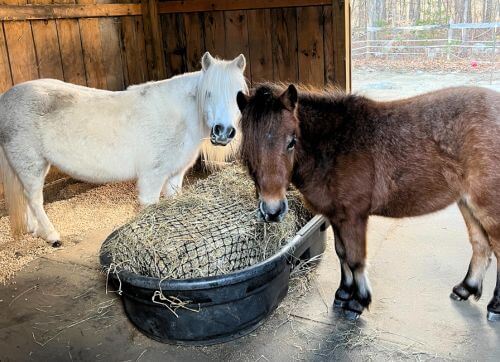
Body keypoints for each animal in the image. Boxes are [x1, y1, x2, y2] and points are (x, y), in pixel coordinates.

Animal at [0, 51, 248, 246]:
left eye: (239, 95)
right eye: (208, 93)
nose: (223, 132)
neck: (178, 116)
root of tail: (6, 99)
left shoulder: (174, 175)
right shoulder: (152, 177)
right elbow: (149, 206)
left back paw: (35, 231)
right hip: (30, 164)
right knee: (34, 199)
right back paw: (52, 236)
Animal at [237, 84, 500, 320]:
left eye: (292, 141)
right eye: (247, 148)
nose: (272, 210)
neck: (335, 146)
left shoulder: (355, 217)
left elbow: (356, 259)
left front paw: (358, 302)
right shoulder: (336, 216)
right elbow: (342, 254)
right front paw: (343, 293)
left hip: (487, 207)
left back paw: (495, 307)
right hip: (467, 203)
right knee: (481, 245)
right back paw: (466, 288)